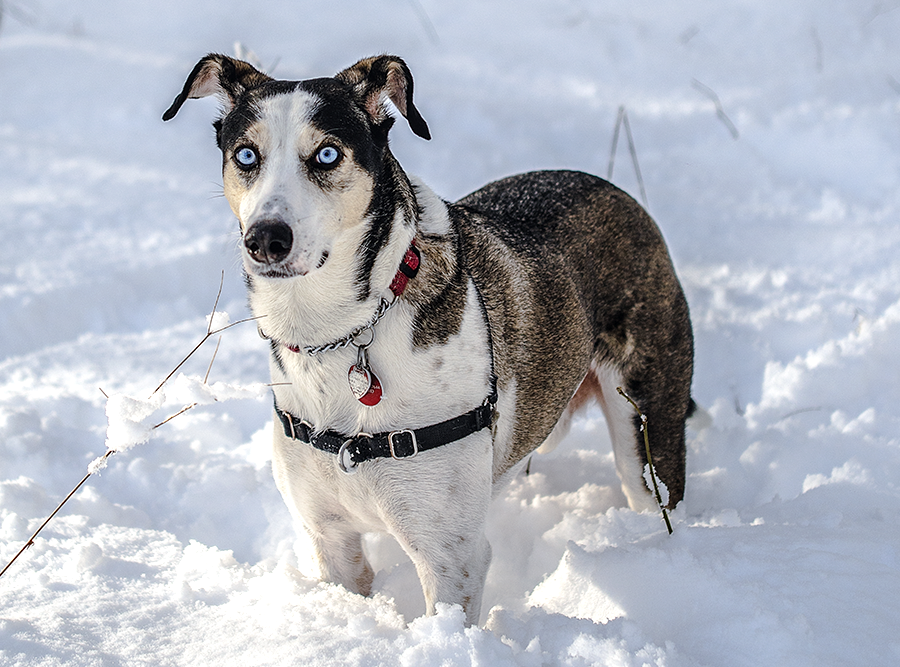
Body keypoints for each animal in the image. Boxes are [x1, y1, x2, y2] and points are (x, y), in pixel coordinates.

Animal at [163, 53, 696, 628]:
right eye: (246, 154)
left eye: (327, 153)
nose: (265, 238)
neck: (338, 333)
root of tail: (617, 192)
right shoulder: (330, 538)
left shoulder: (449, 556)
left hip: (646, 429)